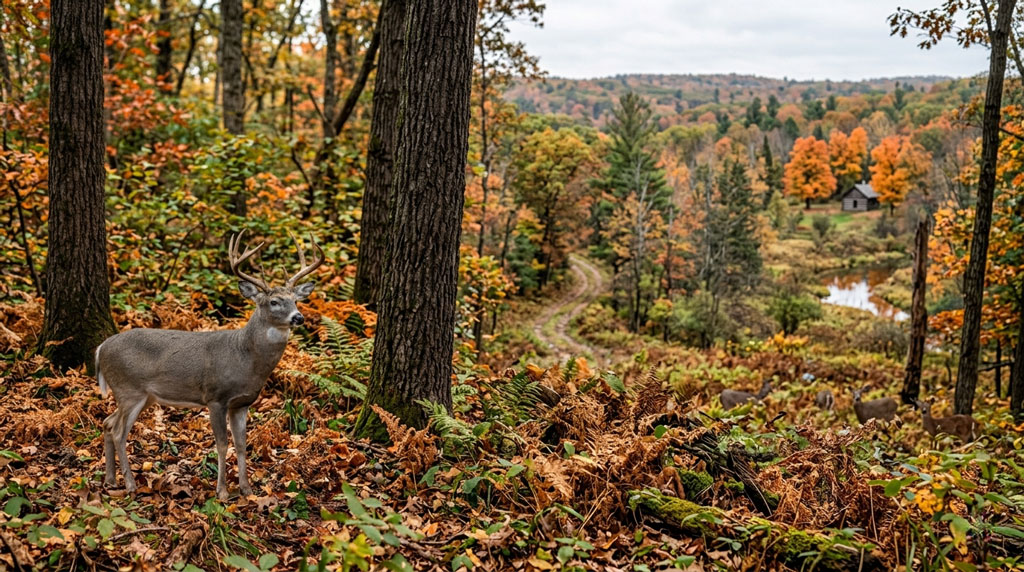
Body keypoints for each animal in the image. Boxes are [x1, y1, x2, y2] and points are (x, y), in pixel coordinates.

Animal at [95, 231, 324, 500]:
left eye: (296, 300)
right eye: (274, 302)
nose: (298, 317)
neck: (245, 359)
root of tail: (101, 348)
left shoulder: (242, 403)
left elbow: (242, 444)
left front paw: (246, 489)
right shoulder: (215, 397)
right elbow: (222, 444)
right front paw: (222, 492)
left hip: (139, 395)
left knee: (107, 423)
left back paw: (111, 479)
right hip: (129, 389)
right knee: (118, 431)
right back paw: (130, 485)